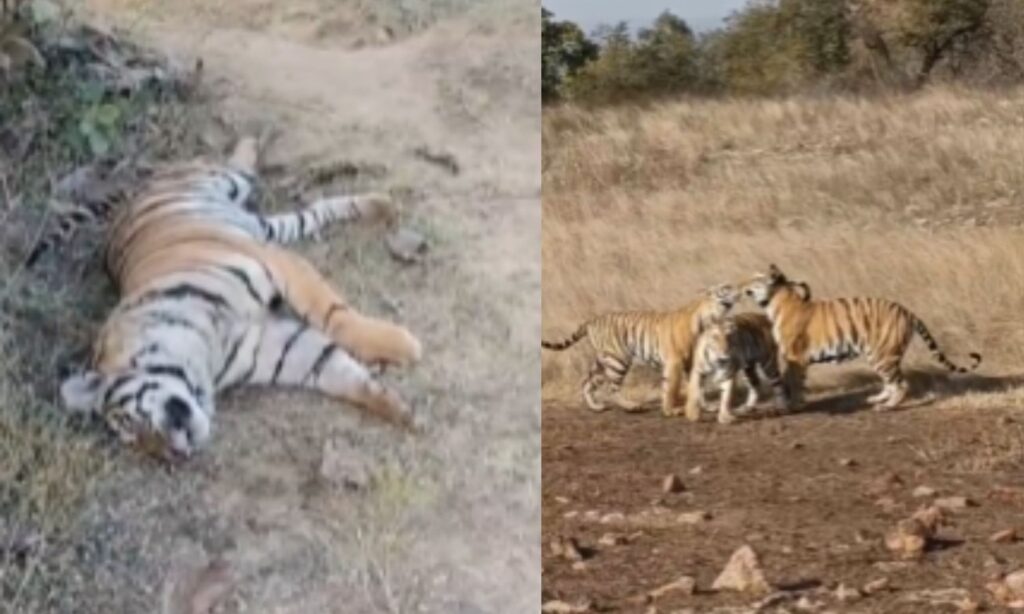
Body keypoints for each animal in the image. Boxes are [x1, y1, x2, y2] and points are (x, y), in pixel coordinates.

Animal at [28, 136, 422, 462]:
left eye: (130, 422)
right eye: (136, 443)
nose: (175, 455)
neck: (206, 351)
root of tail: (132, 194)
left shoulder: (276, 263)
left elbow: (335, 315)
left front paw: (404, 346)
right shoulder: (280, 347)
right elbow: (338, 370)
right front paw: (400, 410)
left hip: (225, 183)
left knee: (238, 165)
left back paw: (257, 140)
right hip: (268, 228)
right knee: (311, 214)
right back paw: (381, 205)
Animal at [540, 284, 740, 416]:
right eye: (726, 288)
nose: (739, 290)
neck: (710, 317)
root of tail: (592, 320)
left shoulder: (691, 362)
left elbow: (697, 385)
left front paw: (706, 406)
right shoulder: (674, 361)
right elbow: (672, 387)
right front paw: (671, 410)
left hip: (603, 361)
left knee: (586, 382)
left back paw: (596, 407)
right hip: (618, 360)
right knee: (612, 388)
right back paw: (631, 406)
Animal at [742, 264, 981, 410]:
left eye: (756, 279)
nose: (742, 285)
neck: (775, 302)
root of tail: (908, 312)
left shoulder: (795, 356)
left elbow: (792, 381)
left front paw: (793, 404)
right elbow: (793, 381)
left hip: (882, 355)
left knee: (901, 384)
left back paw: (886, 406)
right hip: (878, 354)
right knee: (891, 382)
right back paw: (877, 398)